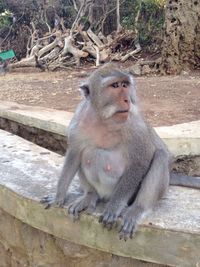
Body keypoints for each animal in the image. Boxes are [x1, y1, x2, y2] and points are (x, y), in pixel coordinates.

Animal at [41, 63, 200, 242]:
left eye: (125, 85)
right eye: (115, 86)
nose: (126, 100)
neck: (104, 120)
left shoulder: (135, 126)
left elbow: (140, 161)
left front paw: (114, 207)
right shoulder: (77, 122)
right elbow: (74, 155)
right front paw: (58, 197)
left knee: (160, 156)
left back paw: (136, 209)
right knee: (87, 154)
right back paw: (90, 196)